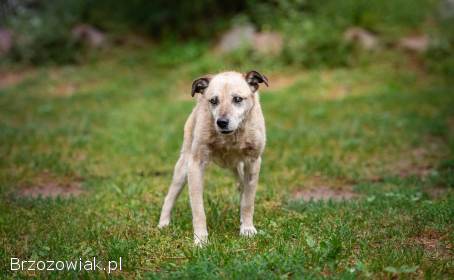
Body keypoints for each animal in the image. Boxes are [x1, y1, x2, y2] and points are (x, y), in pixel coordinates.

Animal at [158, 70, 268, 245]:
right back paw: (163, 223)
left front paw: (247, 229)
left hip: (238, 168)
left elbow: (248, 202)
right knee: (170, 195)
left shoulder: (253, 162)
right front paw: (200, 240)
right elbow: (198, 209)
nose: (221, 122)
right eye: (213, 101)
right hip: (182, 168)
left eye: (237, 99)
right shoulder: (195, 165)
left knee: (242, 189)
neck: (230, 138)